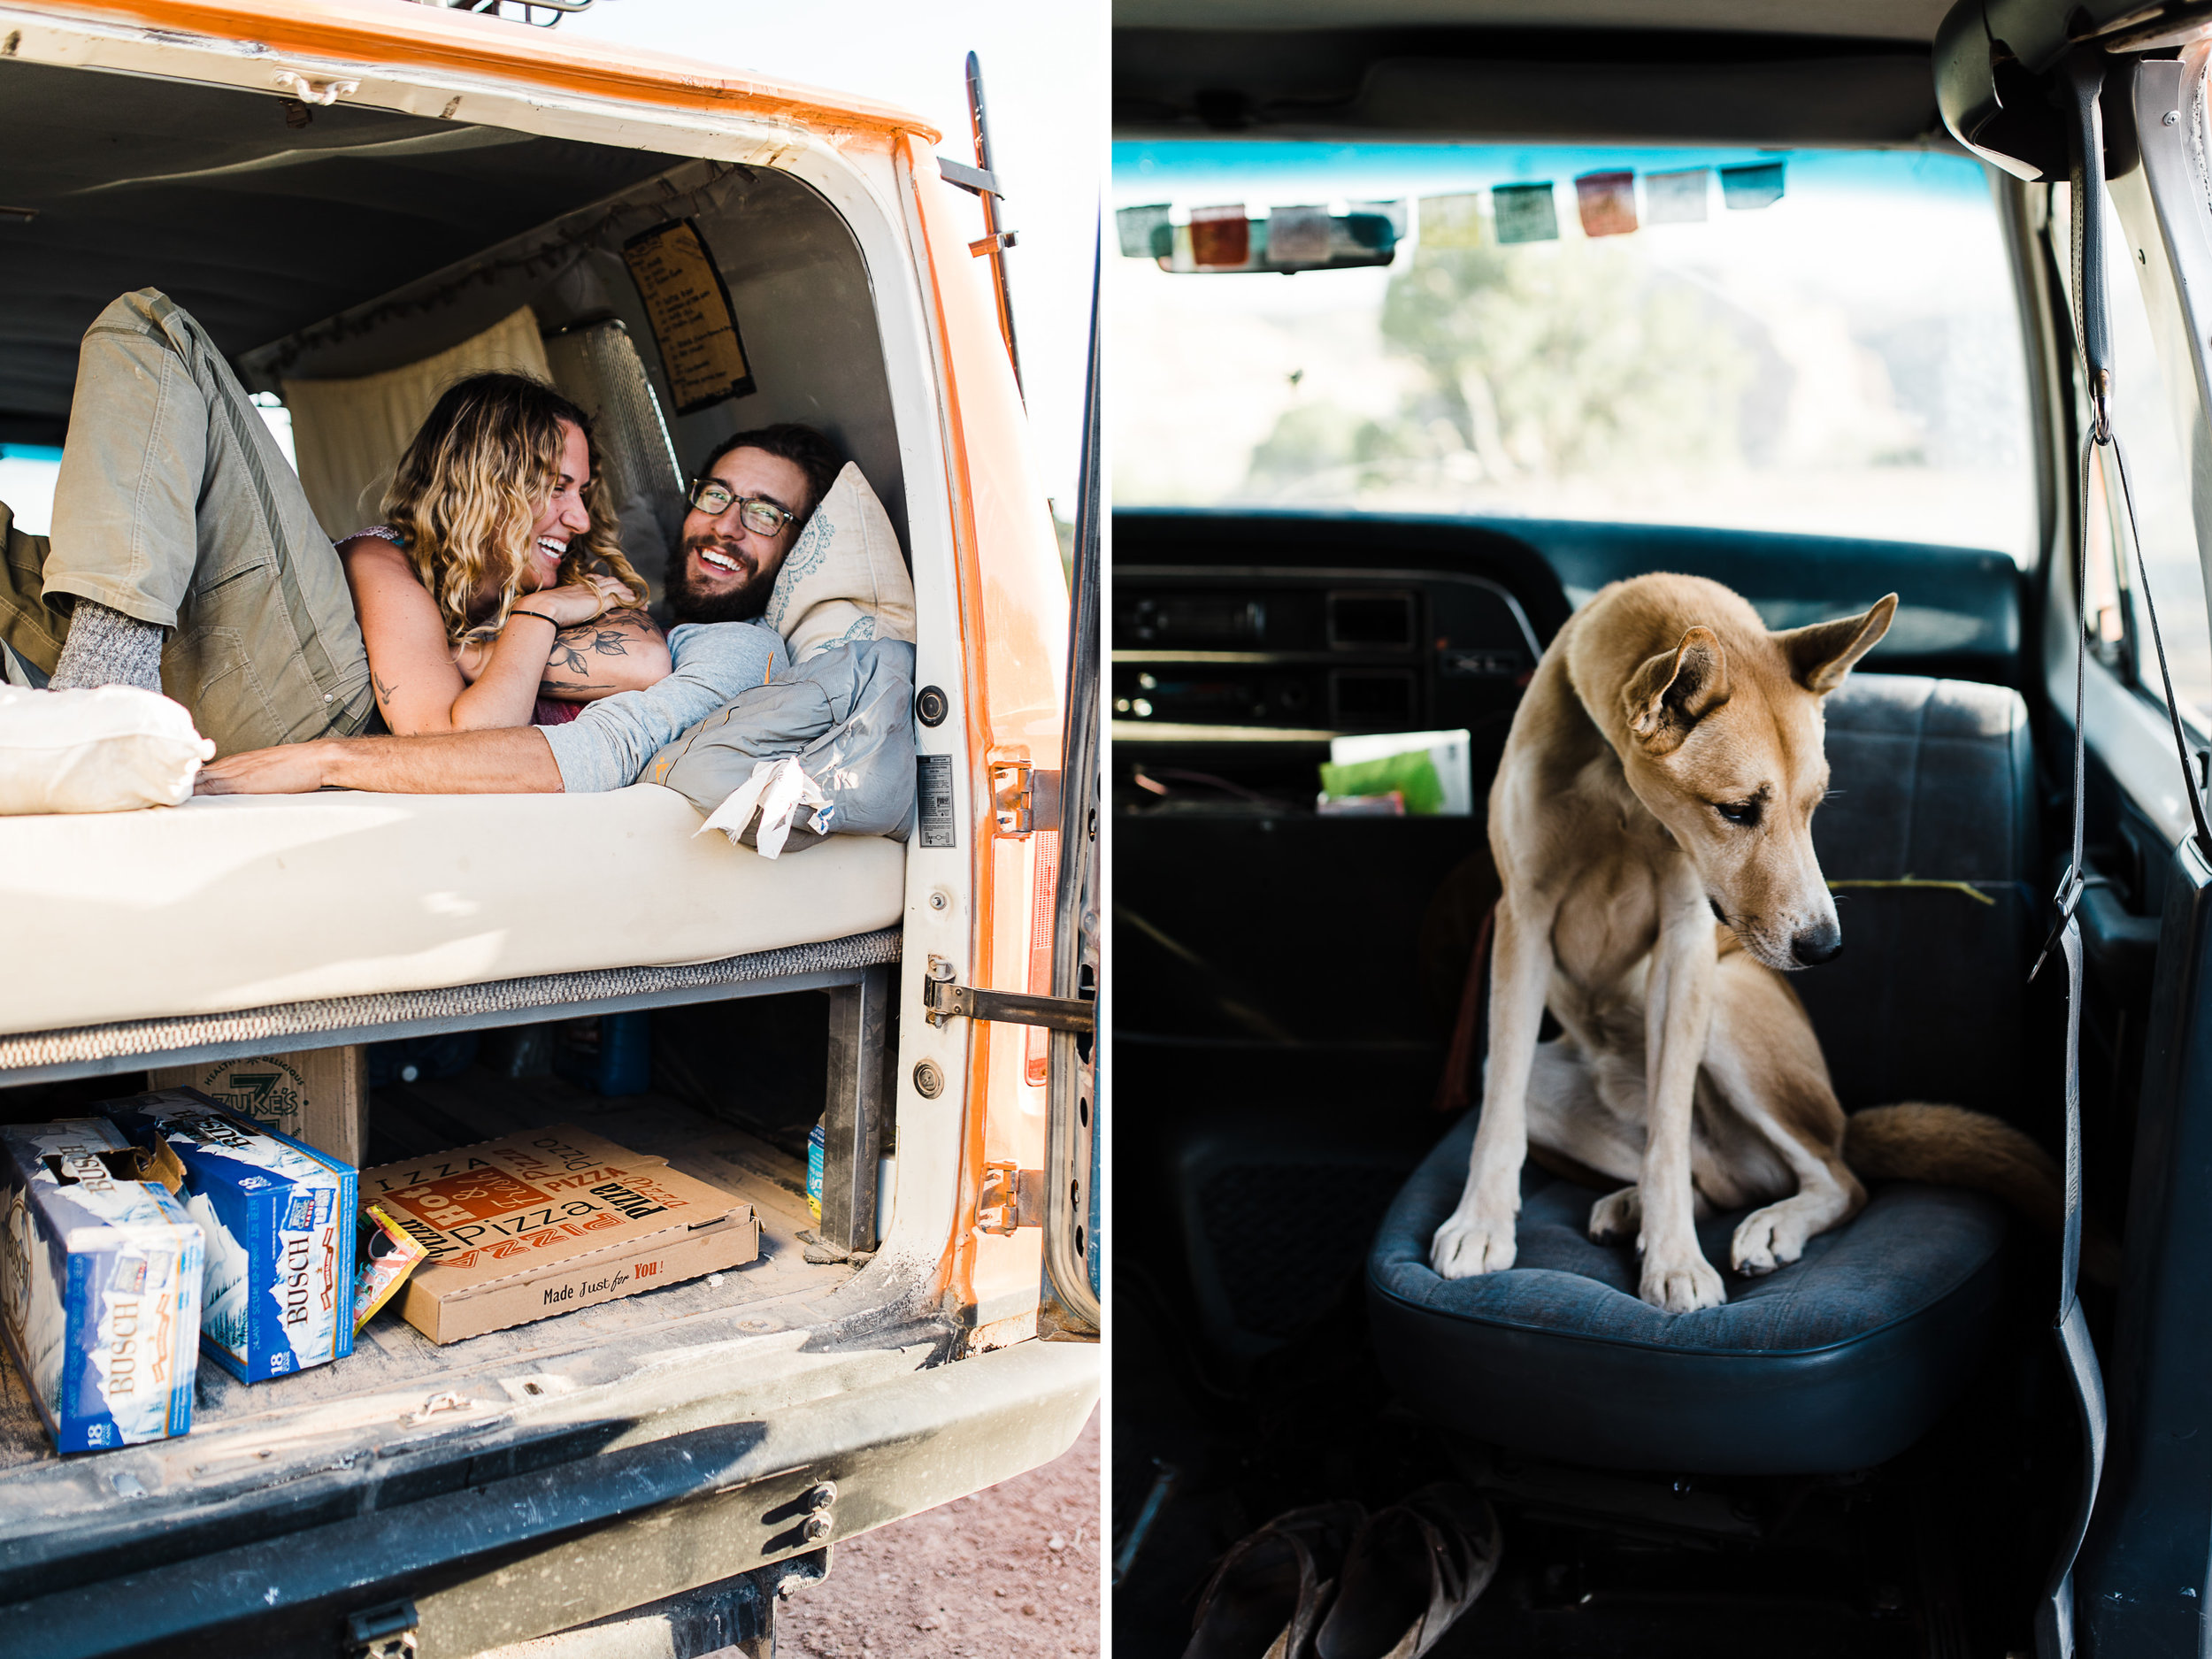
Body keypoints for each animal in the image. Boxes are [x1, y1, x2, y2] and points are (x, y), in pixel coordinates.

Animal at [1433, 580, 2053, 1318]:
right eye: (1735, 810)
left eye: (1814, 805)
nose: (1825, 947)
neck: (1616, 788)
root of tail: (1840, 1122)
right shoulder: (1523, 919)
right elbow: (1500, 1110)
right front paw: (1482, 1221)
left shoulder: (1684, 940)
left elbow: (1668, 1130)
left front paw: (1674, 1259)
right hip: (1561, 1086)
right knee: (1709, 1179)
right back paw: (1635, 1206)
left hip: (1729, 1007)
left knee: (1837, 1180)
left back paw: (1766, 1223)